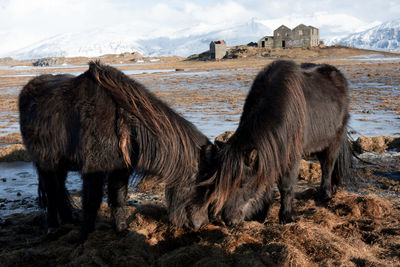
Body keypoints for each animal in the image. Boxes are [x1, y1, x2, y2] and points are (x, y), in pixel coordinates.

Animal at [18, 61, 212, 242]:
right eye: (201, 186)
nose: (201, 224)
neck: (124, 121)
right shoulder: (93, 169)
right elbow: (91, 202)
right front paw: (84, 236)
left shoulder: (120, 169)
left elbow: (118, 198)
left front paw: (121, 230)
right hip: (45, 164)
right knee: (51, 191)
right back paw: (52, 226)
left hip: (61, 165)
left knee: (59, 188)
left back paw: (68, 219)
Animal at [170, 60, 352, 228]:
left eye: (243, 183)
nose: (229, 221)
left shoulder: (291, 156)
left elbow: (286, 186)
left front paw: (287, 217)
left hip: (333, 141)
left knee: (327, 165)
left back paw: (326, 194)